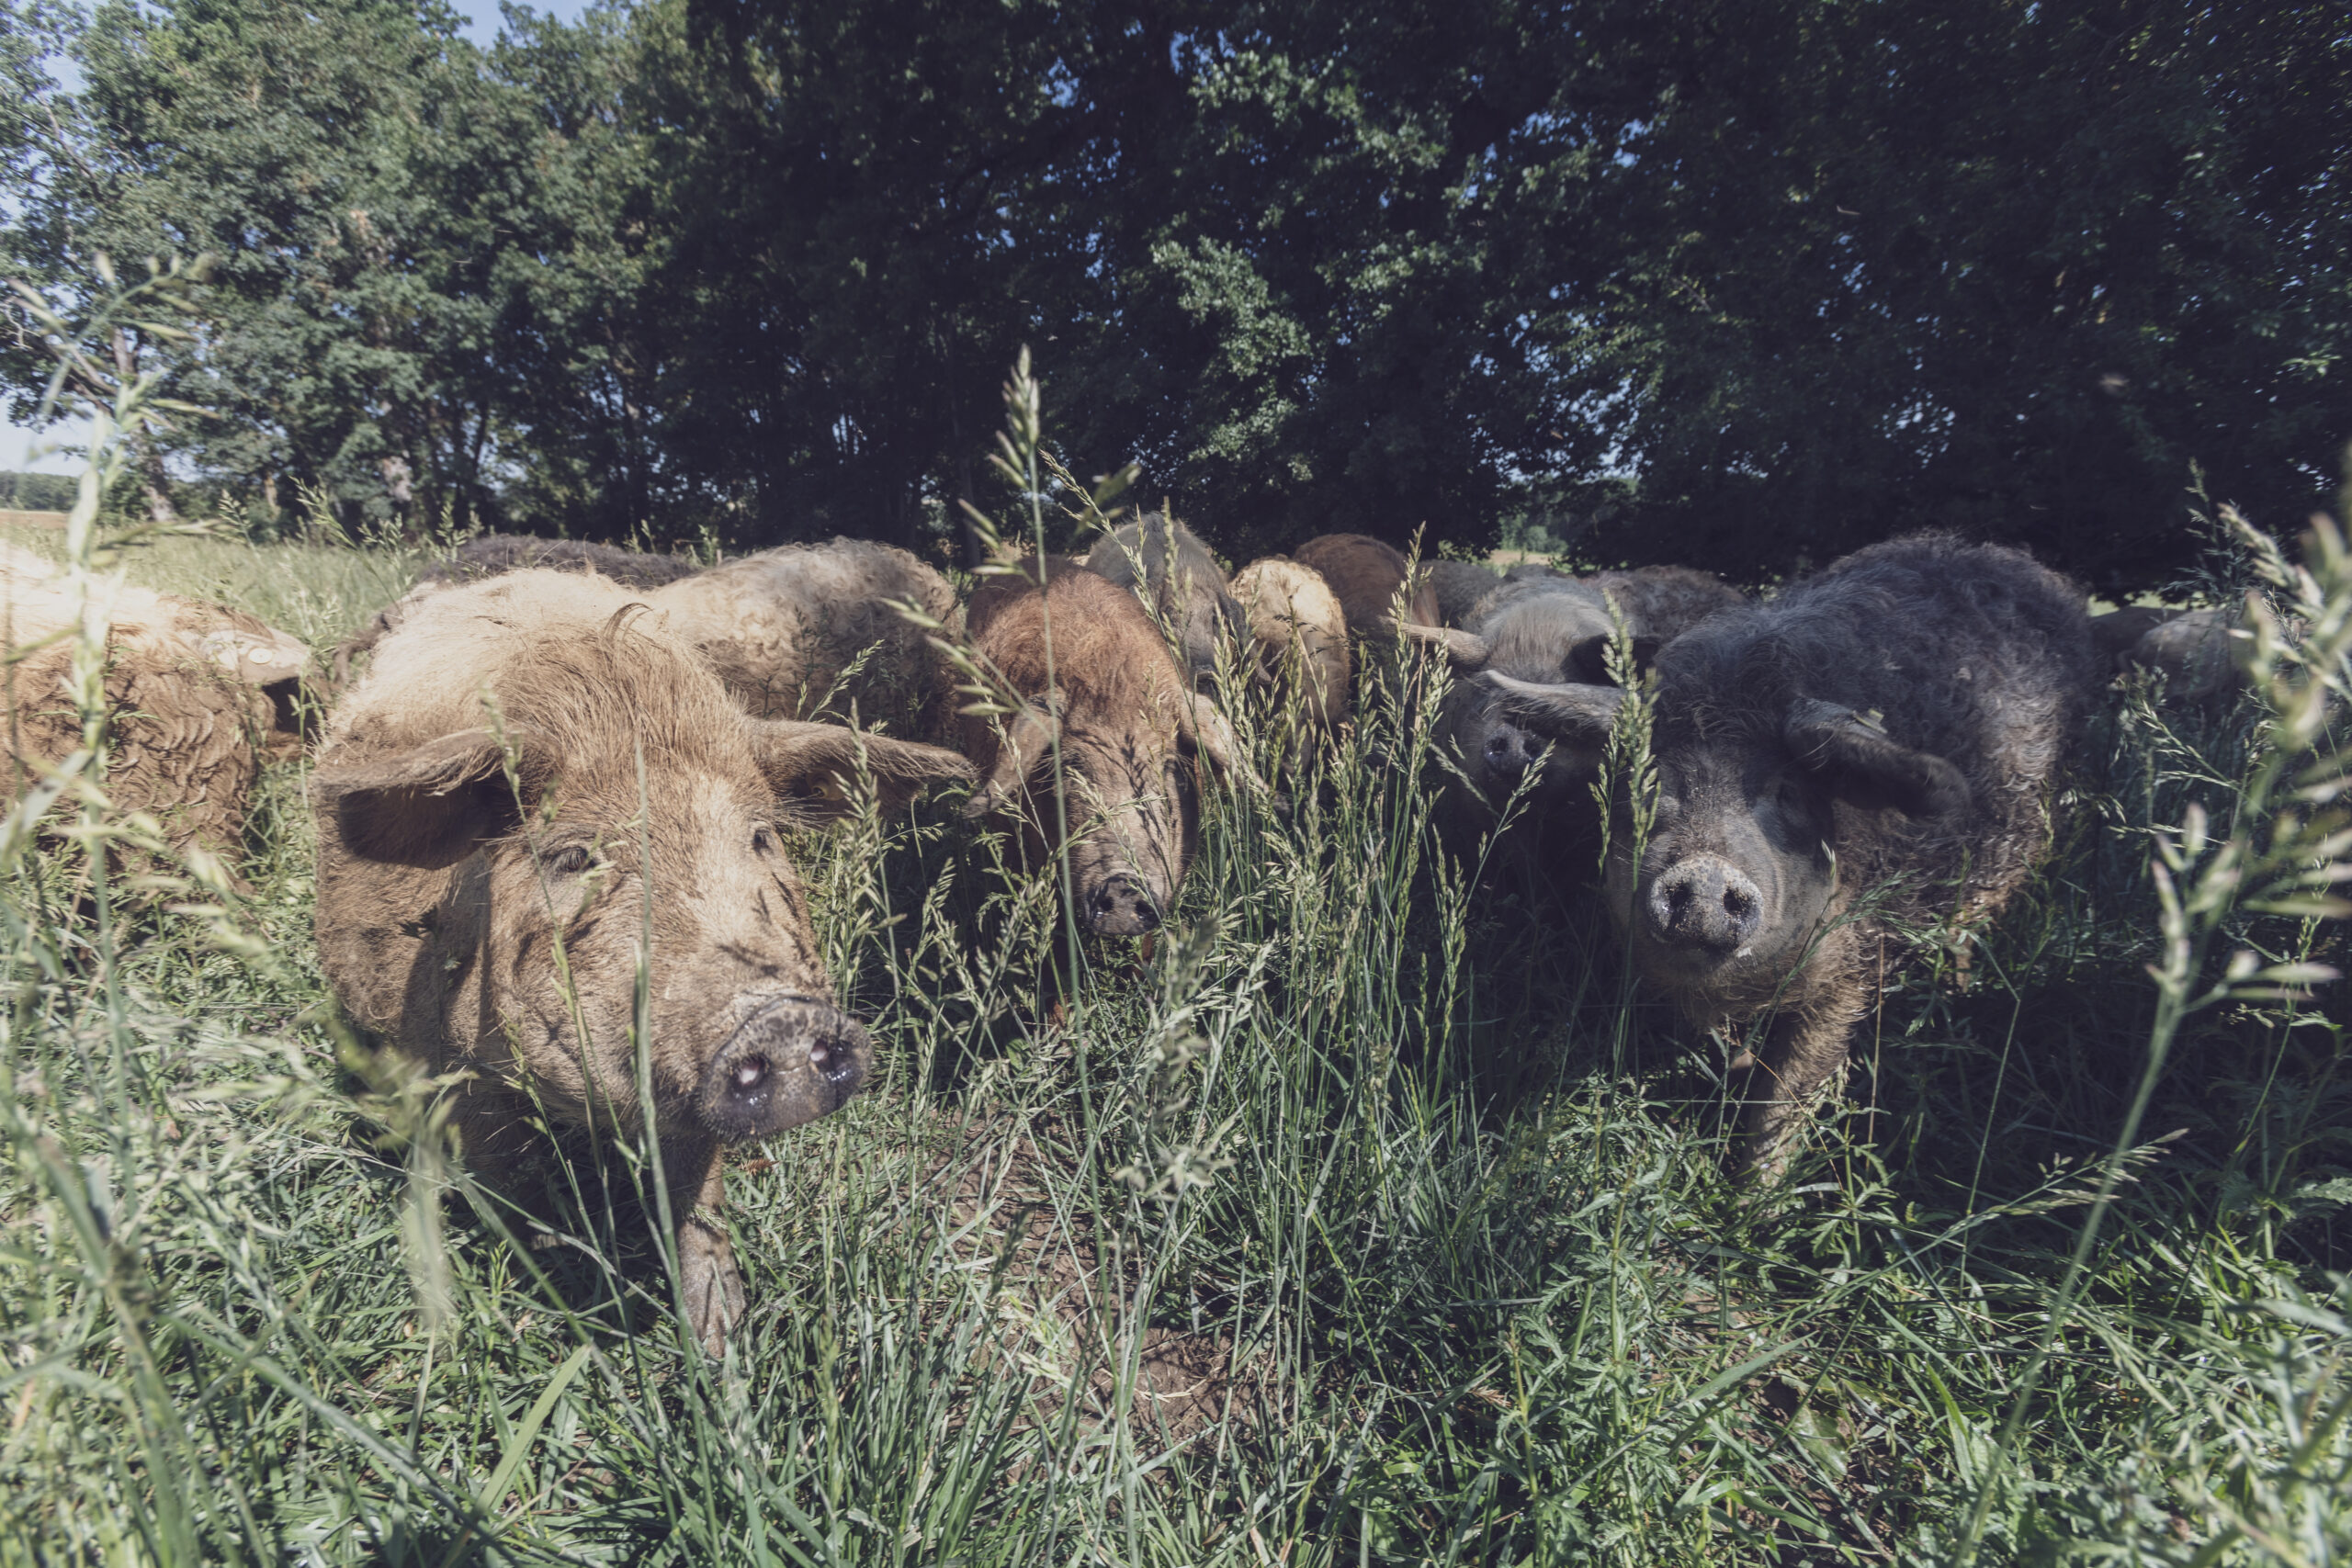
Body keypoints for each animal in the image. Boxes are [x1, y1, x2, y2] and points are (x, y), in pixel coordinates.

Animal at [310, 569, 973, 1354]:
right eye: (575, 856)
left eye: (759, 836)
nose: (775, 1019)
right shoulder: (448, 1068)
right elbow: (505, 1182)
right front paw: (552, 1280)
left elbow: (698, 1192)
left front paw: (719, 1340)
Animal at [1486, 536, 2096, 1173]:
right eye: (1646, 780)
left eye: (1786, 791)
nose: (1705, 873)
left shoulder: (1851, 972)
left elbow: (1788, 1095)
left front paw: (1755, 1190)